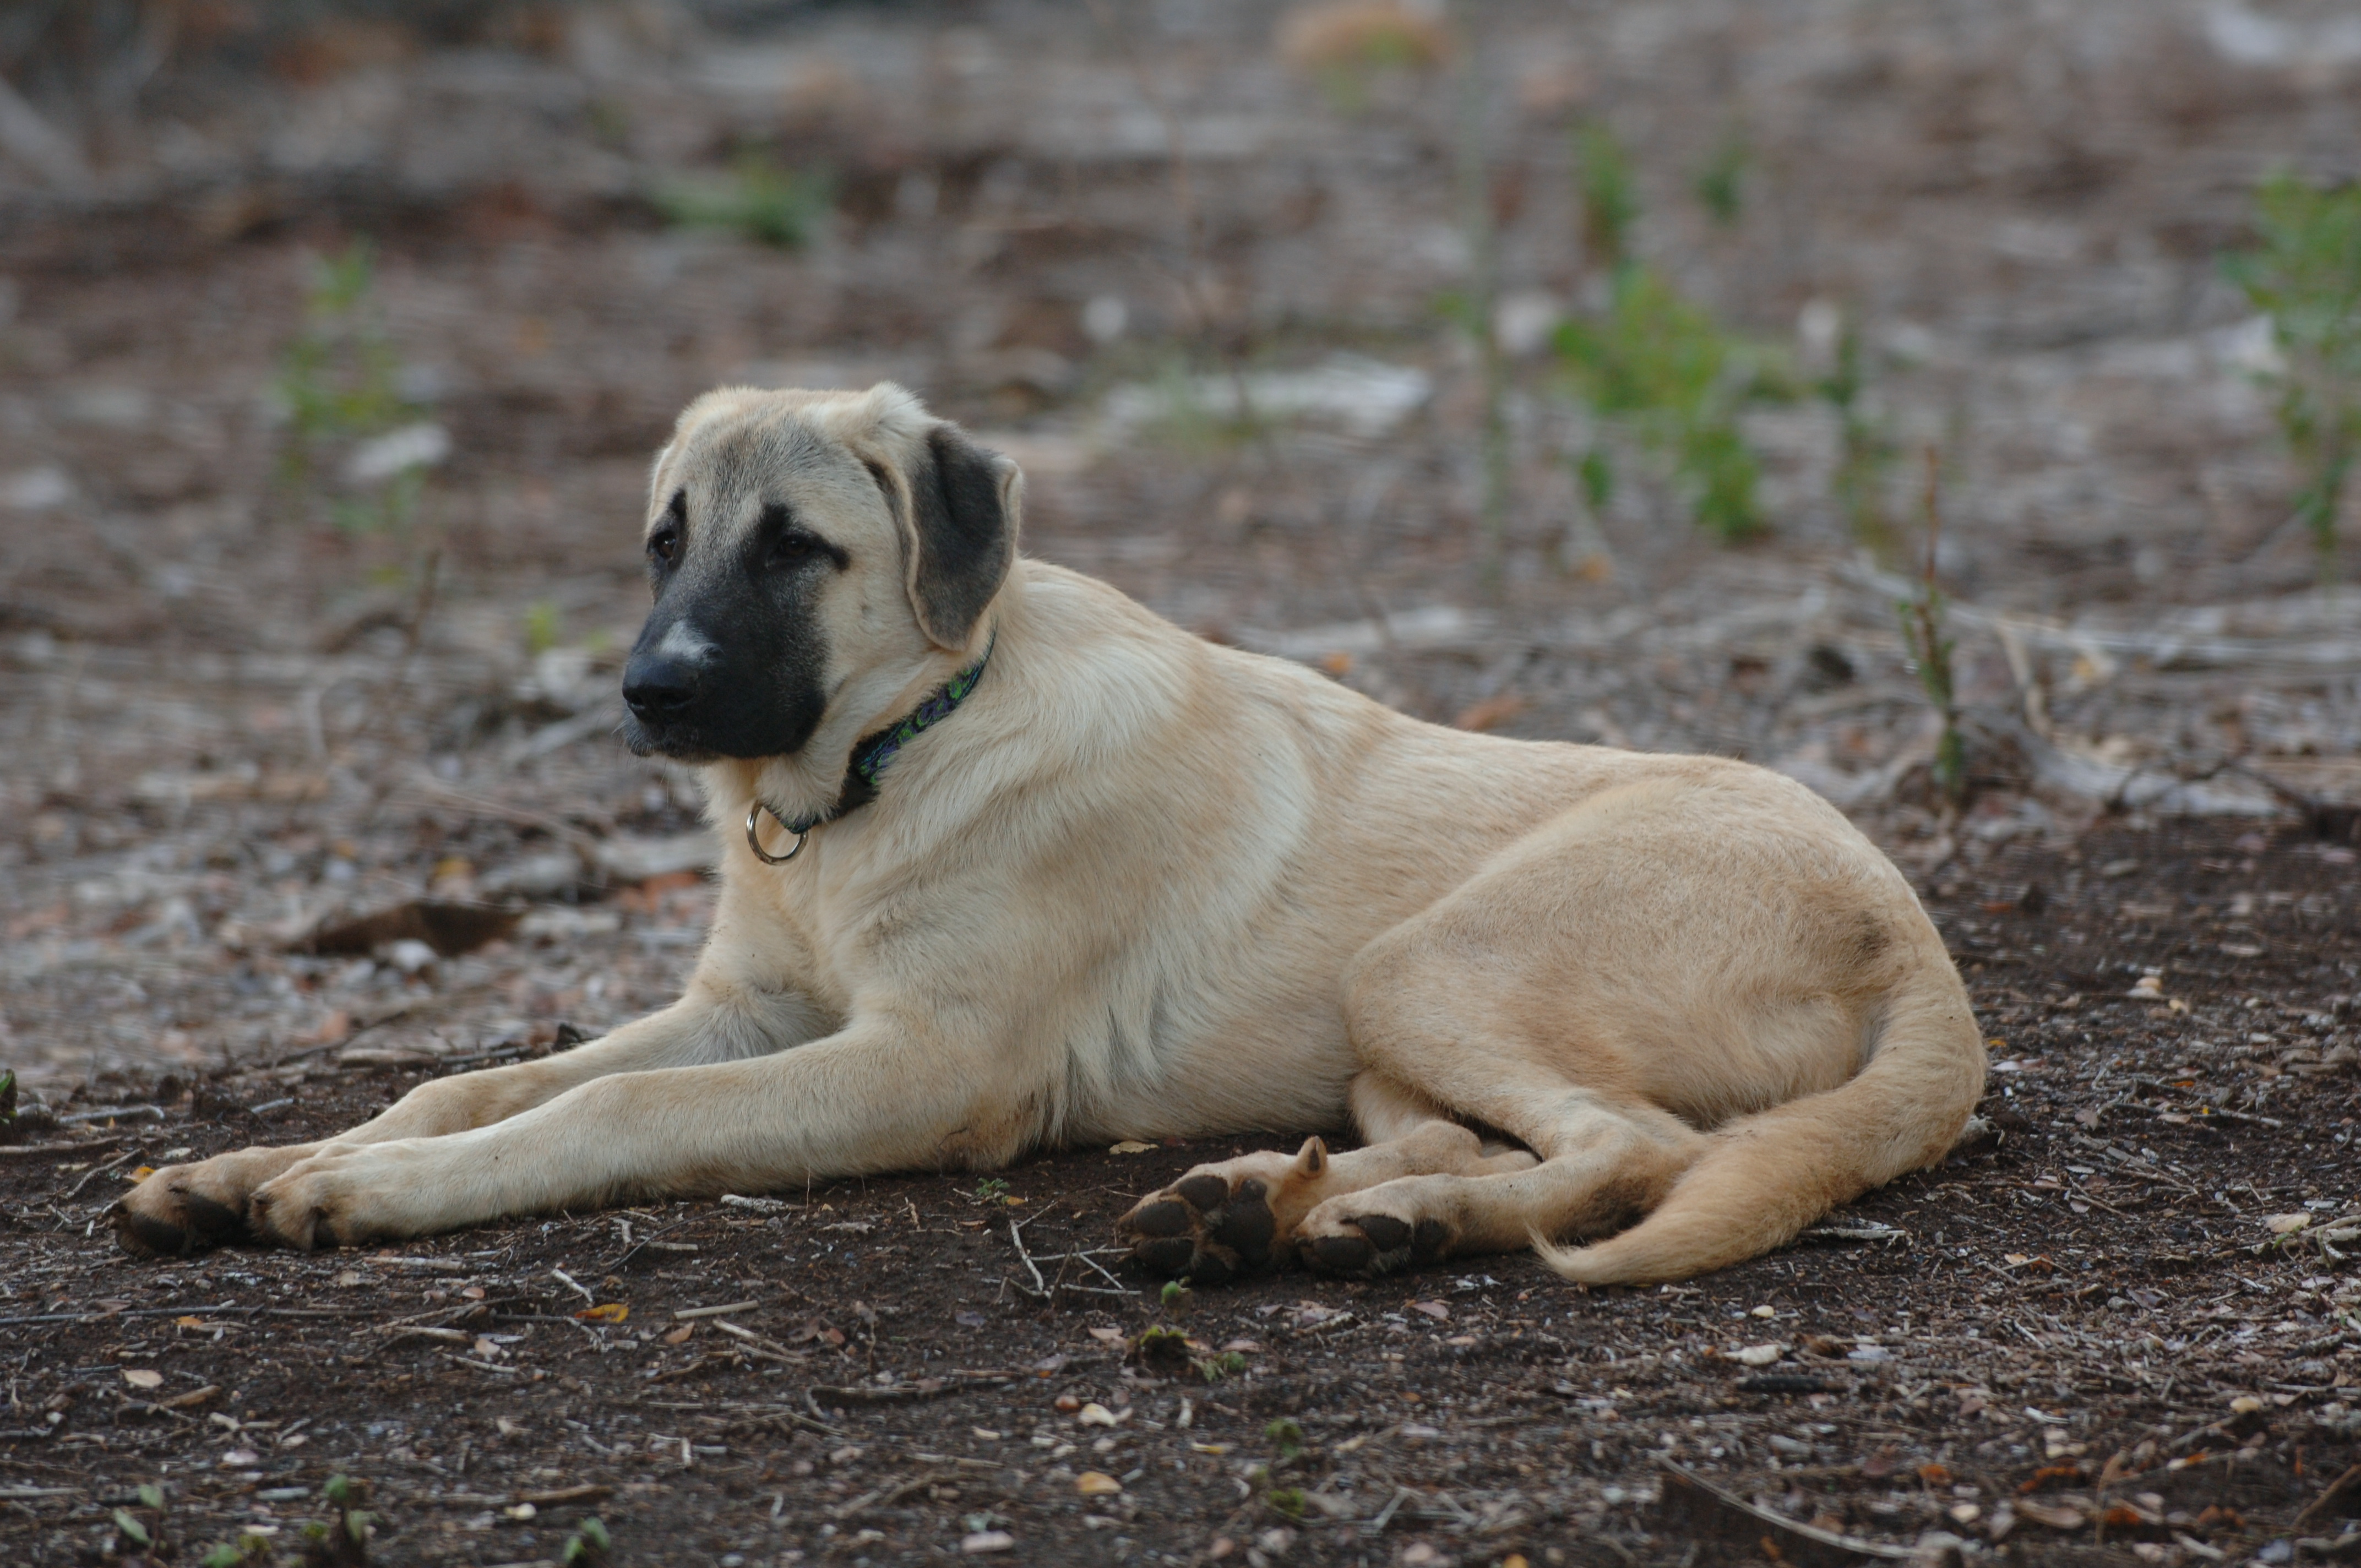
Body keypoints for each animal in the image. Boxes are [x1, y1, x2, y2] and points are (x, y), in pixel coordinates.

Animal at [115, 382, 1993, 1284]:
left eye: (793, 548)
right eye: (662, 540)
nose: (649, 692)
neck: (881, 773)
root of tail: (1916, 941)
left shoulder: (923, 1065)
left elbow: (606, 1109)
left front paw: (359, 1192)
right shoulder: (753, 1008)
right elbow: (475, 1081)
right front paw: (254, 1164)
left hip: (1427, 960)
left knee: (1635, 1150)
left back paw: (1330, 1222)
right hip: (1389, 1029)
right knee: (1501, 1144)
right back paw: (1278, 1208)